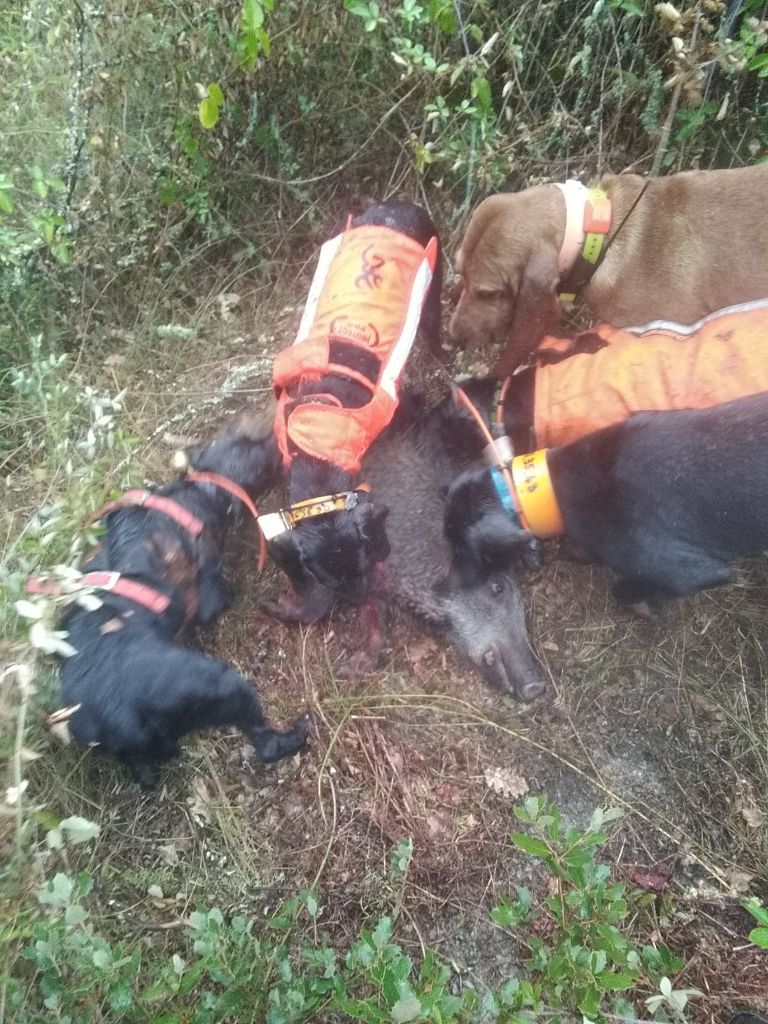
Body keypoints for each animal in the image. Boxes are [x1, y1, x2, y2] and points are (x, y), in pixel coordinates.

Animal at [52, 403, 311, 786]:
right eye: (263, 453)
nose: (283, 443)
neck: (202, 489)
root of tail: (109, 720)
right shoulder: (208, 589)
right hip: (220, 684)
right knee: (264, 742)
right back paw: (297, 734)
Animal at [448, 393, 768, 614]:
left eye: (462, 549)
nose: (449, 585)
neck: (557, 485)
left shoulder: (694, 570)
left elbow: (631, 587)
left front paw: (640, 601)